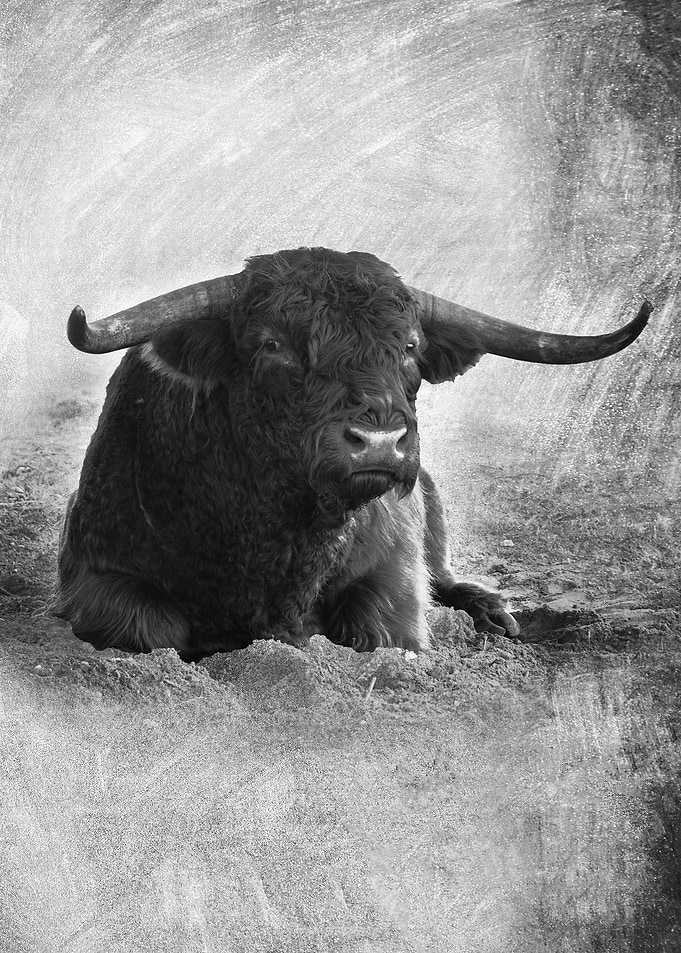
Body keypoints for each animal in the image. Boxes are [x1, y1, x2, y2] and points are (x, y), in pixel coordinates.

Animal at [54, 247, 651, 662]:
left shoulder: (395, 574)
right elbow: (152, 629)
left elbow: (381, 628)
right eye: (272, 344)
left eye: (409, 346)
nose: (381, 441)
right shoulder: (97, 579)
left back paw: (492, 612)